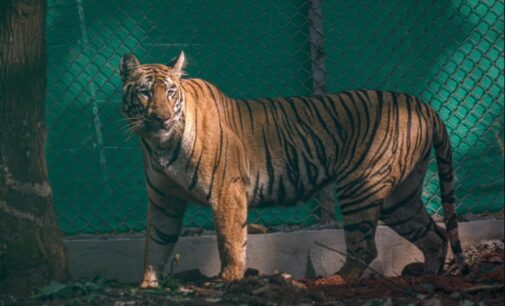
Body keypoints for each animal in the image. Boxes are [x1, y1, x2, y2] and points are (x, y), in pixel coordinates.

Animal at [120, 51, 466, 288]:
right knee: (433, 235)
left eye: (170, 93)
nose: (163, 118)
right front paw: (147, 285)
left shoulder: (226, 191)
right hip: (400, 198)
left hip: (361, 186)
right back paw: (428, 276)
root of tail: (424, 105)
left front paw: (228, 279)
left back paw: (333, 281)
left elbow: (229, 241)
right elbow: (157, 243)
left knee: (366, 247)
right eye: (146, 92)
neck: (159, 144)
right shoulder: (164, 201)